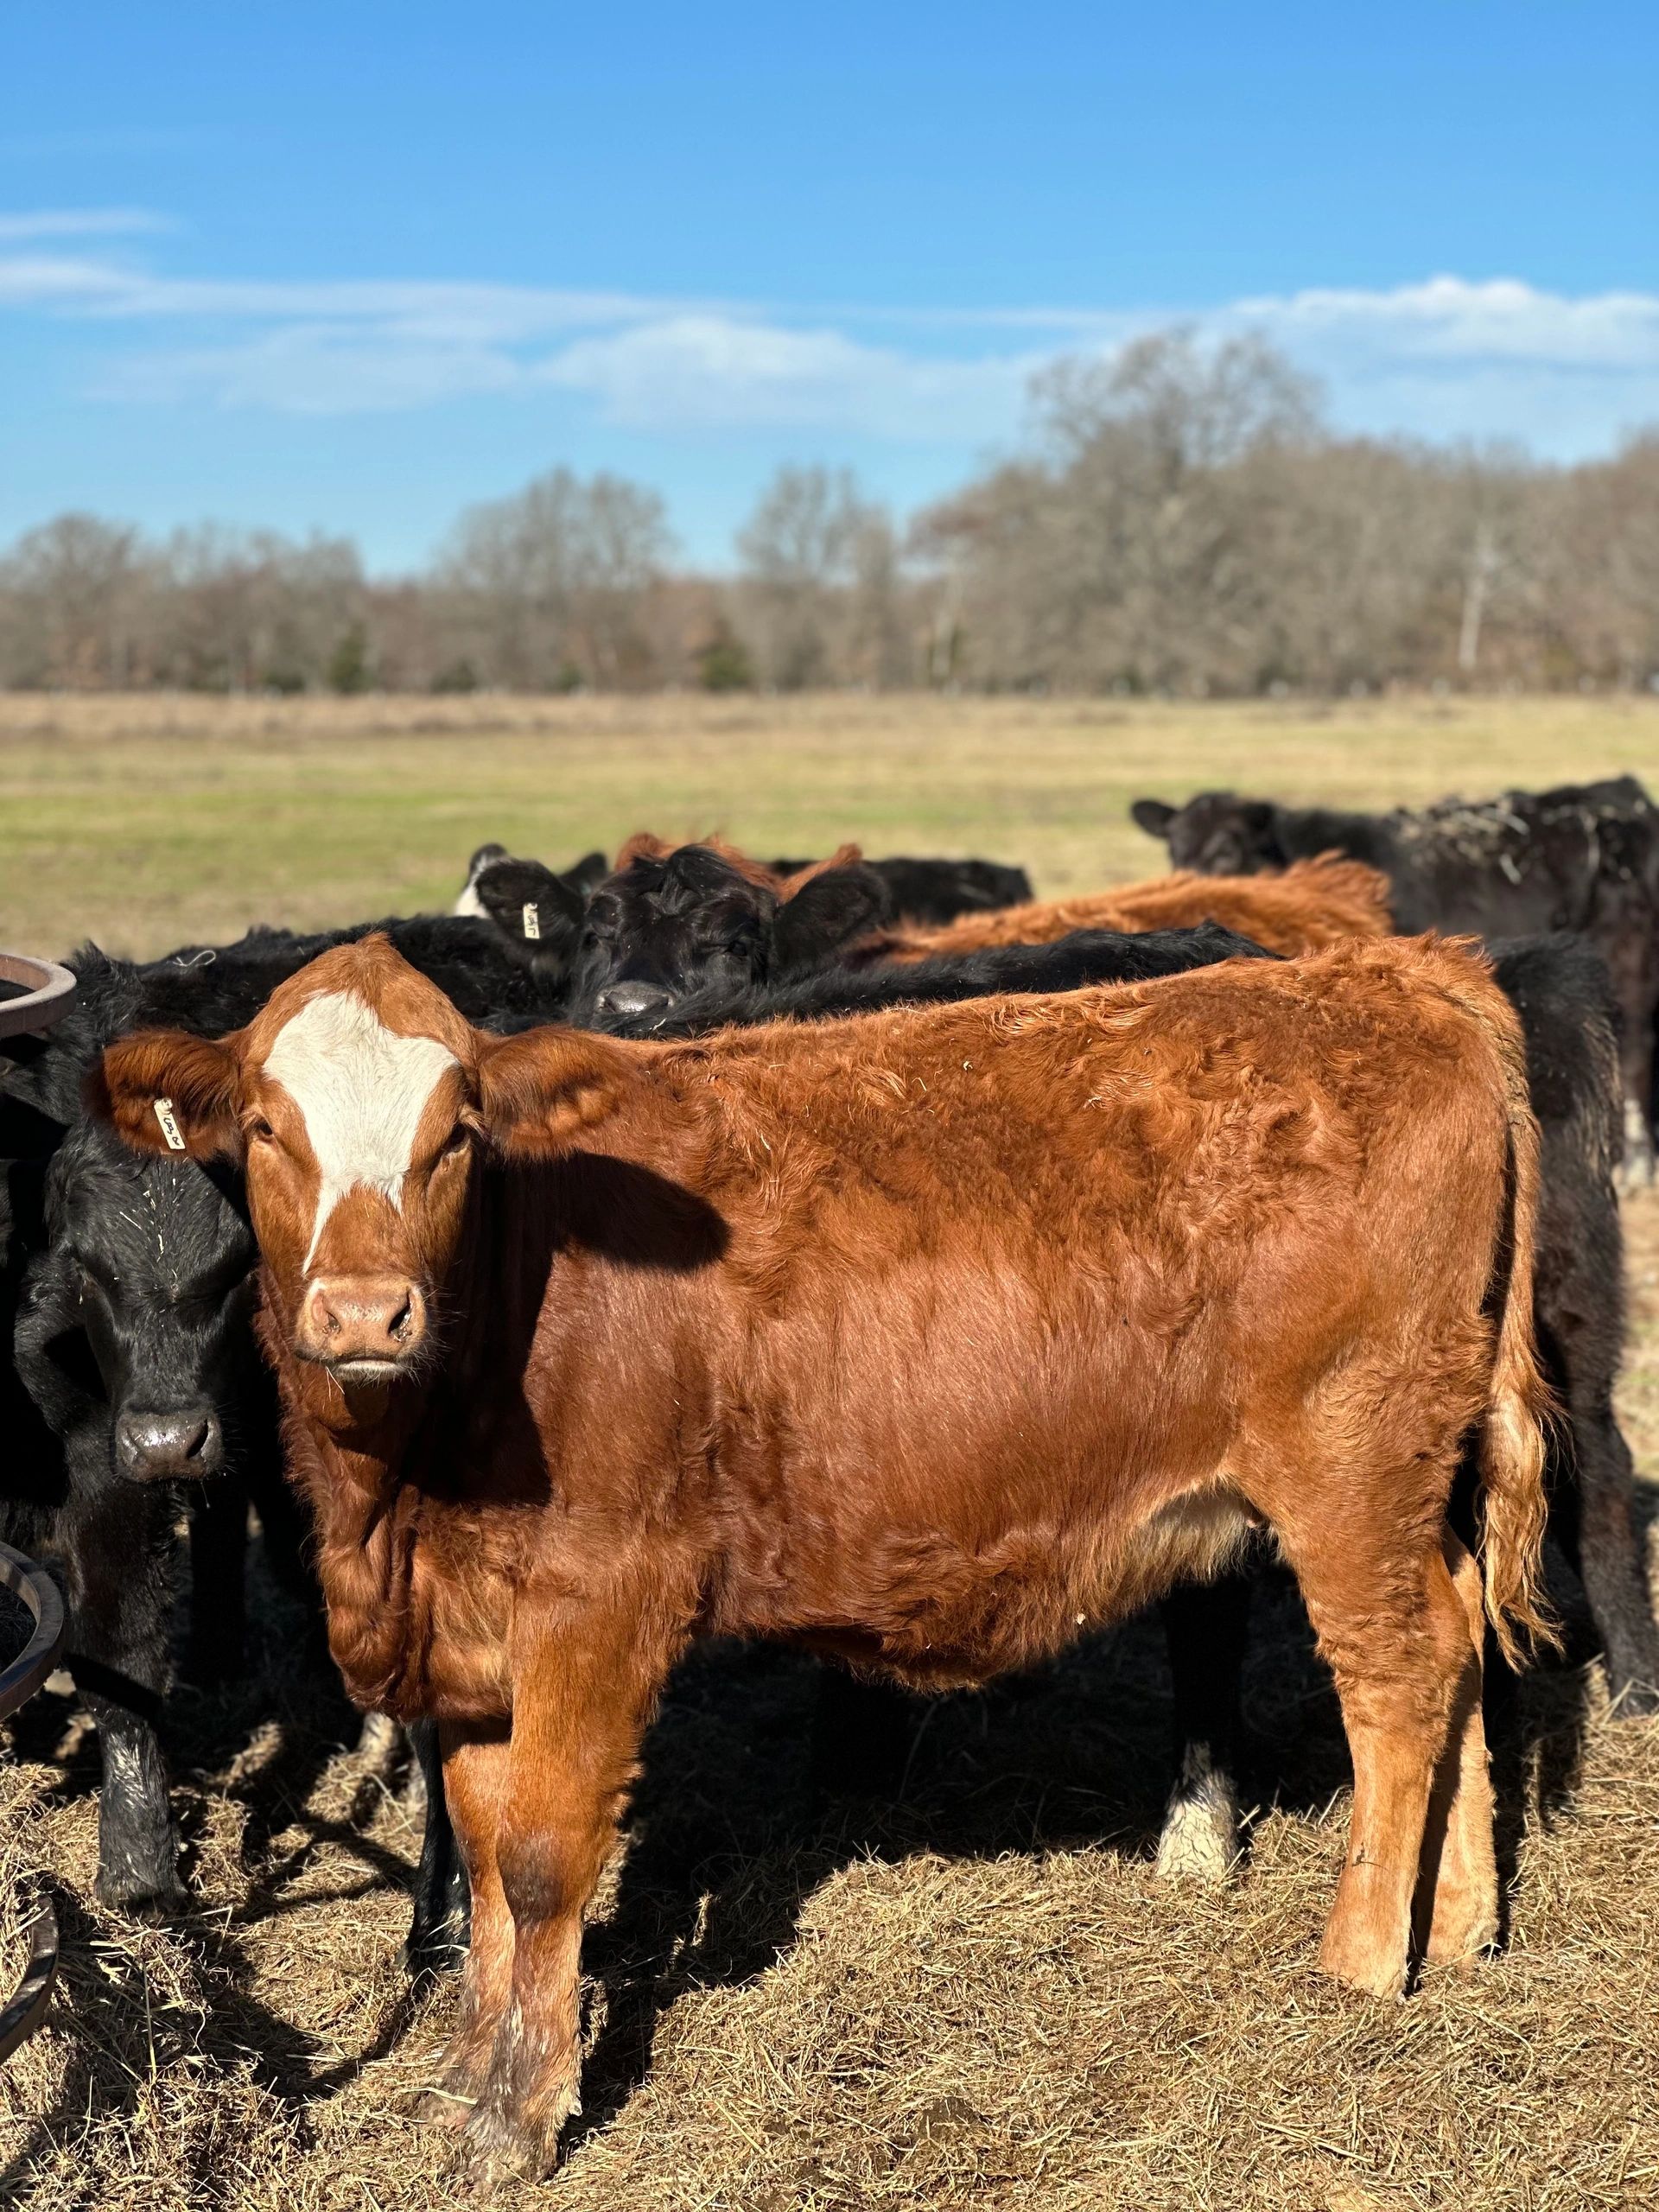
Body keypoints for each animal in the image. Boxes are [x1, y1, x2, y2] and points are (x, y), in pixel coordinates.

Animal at [97, 929, 1551, 2179]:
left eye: (452, 1134)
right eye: (266, 1130)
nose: (362, 1313)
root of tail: (1400, 975)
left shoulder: (596, 1607)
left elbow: (545, 1860)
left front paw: (520, 2120)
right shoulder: (472, 1637)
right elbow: (488, 1860)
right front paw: (474, 2068)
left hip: (1350, 1465)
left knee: (1400, 1674)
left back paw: (1361, 1959)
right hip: (1425, 1468)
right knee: (1463, 1646)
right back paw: (1466, 1924)